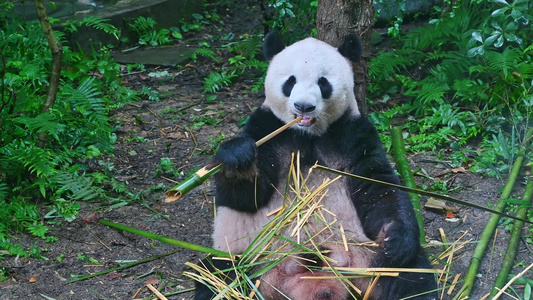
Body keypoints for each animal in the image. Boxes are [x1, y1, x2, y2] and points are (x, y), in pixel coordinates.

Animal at [193, 31, 434, 298]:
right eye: (290, 81)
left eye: (323, 83)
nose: (304, 106)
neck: (307, 134)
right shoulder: (268, 128)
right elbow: (248, 196)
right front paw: (237, 157)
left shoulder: (353, 134)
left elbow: (378, 186)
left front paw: (395, 241)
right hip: (253, 258)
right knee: (216, 274)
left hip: (366, 257)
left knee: (411, 275)